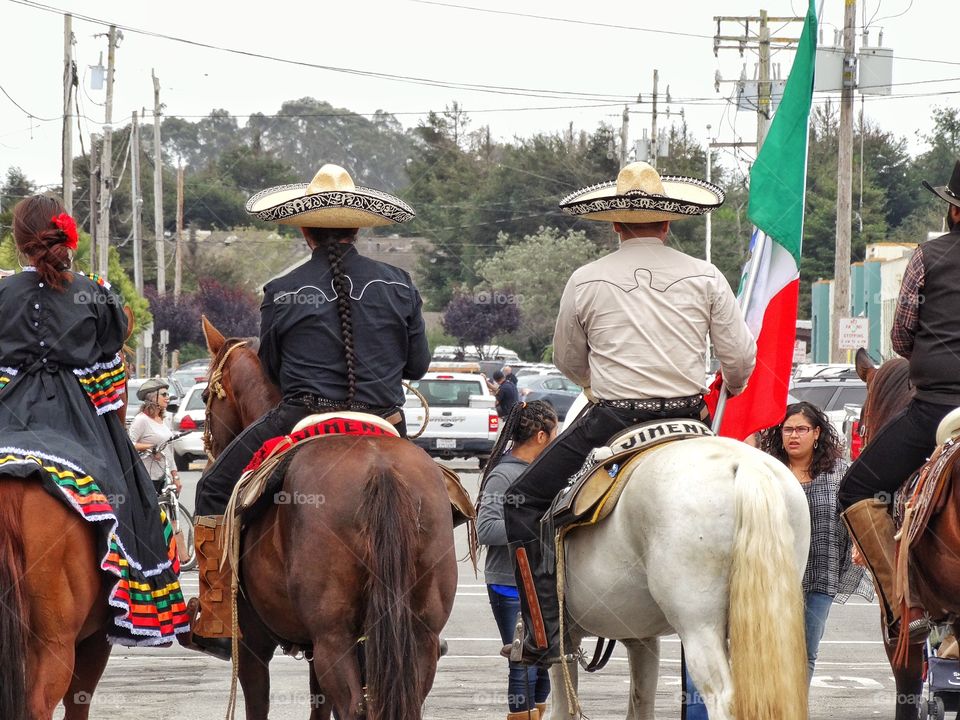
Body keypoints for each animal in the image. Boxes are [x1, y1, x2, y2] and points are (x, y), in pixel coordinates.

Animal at [197, 318, 456, 716]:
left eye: (204, 398)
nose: (208, 449)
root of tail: (380, 467)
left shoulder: (255, 646)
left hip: (332, 636)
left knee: (353, 706)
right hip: (418, 634)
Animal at [548, 396, 808, 716]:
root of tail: (747, 465)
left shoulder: (563, 640)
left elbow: (561, 706)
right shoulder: (641, 638)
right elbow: (641, 700)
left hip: (698, 625)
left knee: (723, 697)